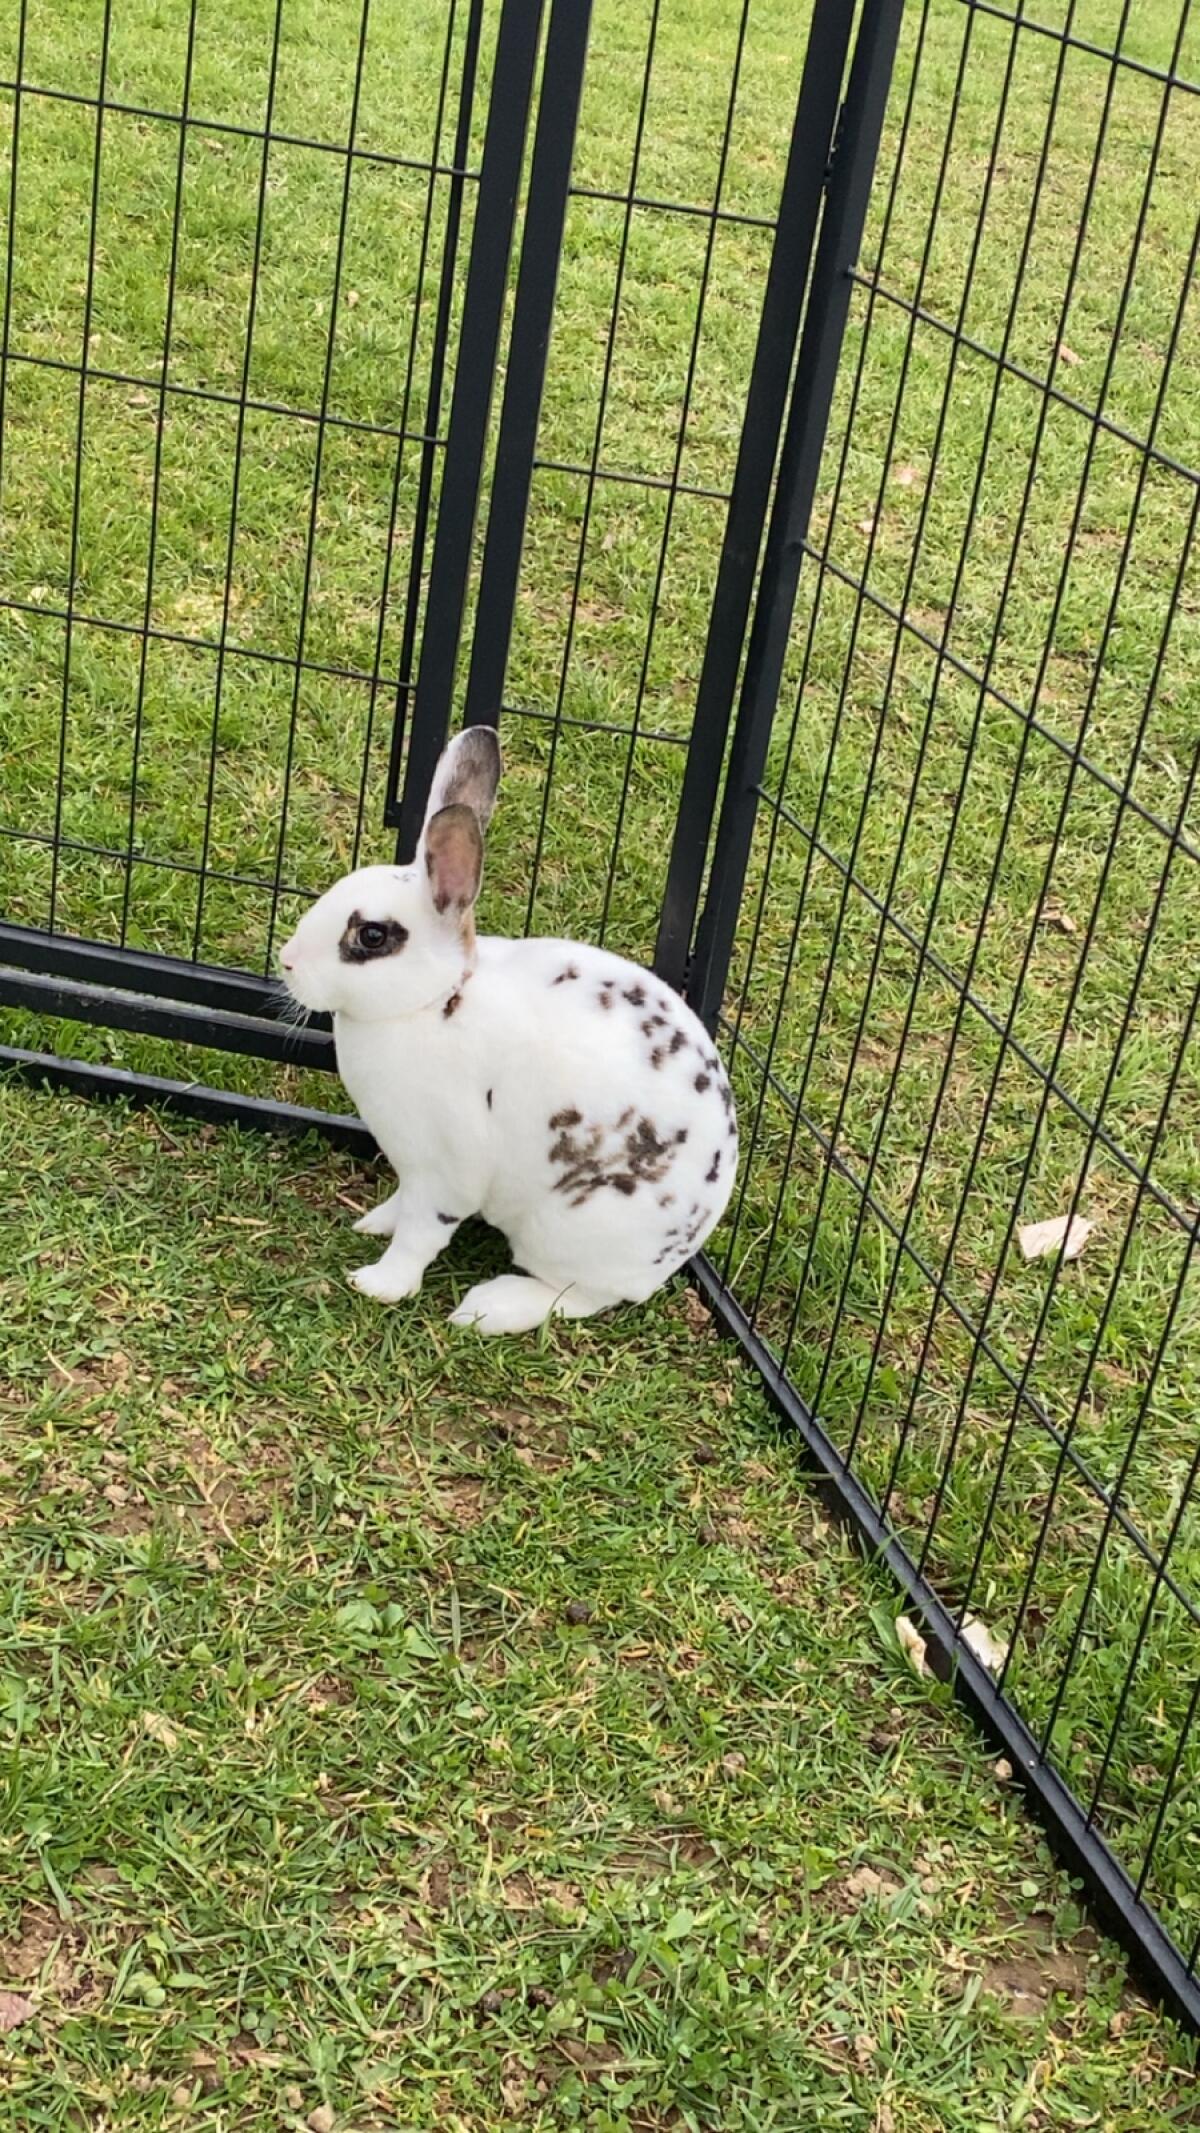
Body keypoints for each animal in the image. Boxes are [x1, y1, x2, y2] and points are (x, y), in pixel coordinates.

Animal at [278, 726, 737, 1334]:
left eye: (372, 936)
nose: (286, 962)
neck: (432, 1001)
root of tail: (677, 1251)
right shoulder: (412, 1168)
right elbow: (401, 1207)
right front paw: (372, 1223)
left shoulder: (446, 1167)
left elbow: (420, 1235)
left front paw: (378, 1284)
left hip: (569, 1230)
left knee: (579, 1297)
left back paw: (487, 1308)